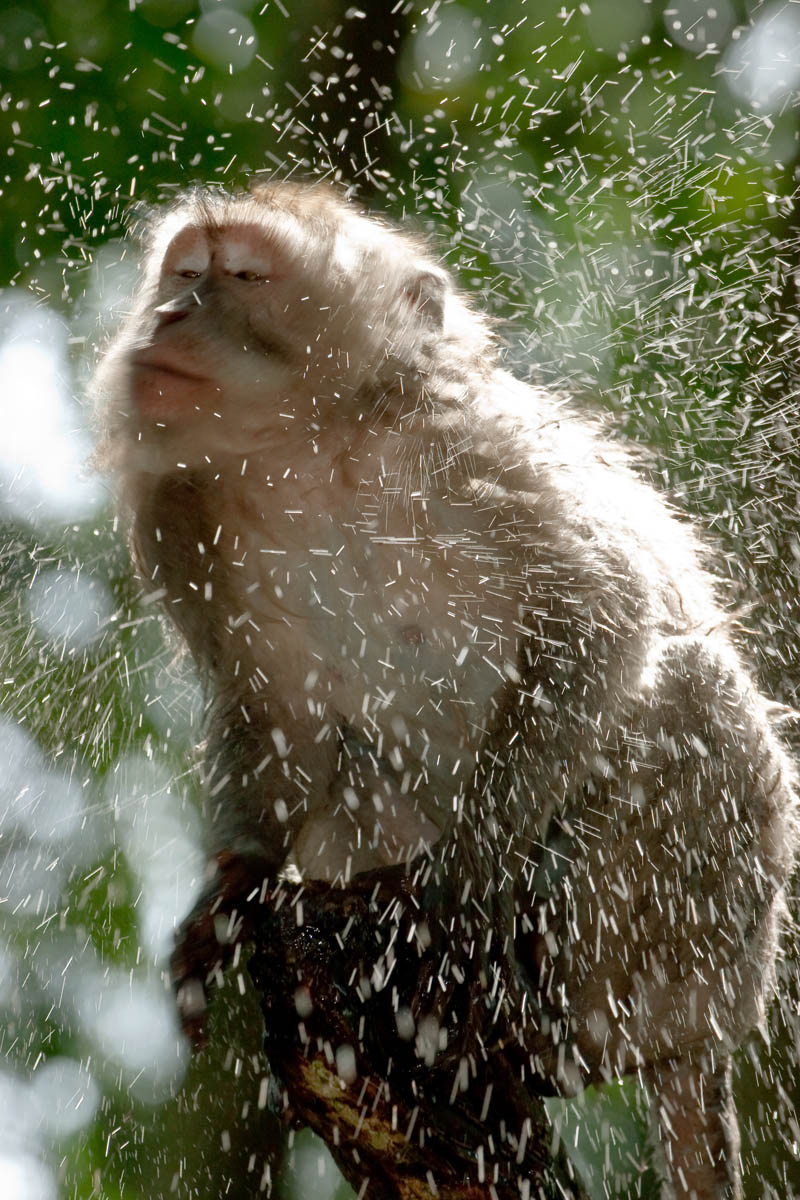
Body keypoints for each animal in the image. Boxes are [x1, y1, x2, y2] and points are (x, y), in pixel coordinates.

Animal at [94, 180, 796, 1200]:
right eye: (185, 271)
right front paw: (237, 882)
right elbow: (277, 713)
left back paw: (529, 1026)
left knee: (689, 693)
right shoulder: (182, 509)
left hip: (705, 951)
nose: (171, 314)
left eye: (246, 276)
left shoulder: (476, 450)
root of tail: (710, 1035)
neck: (311, 450)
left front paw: (451, 894)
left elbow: (599, 617)